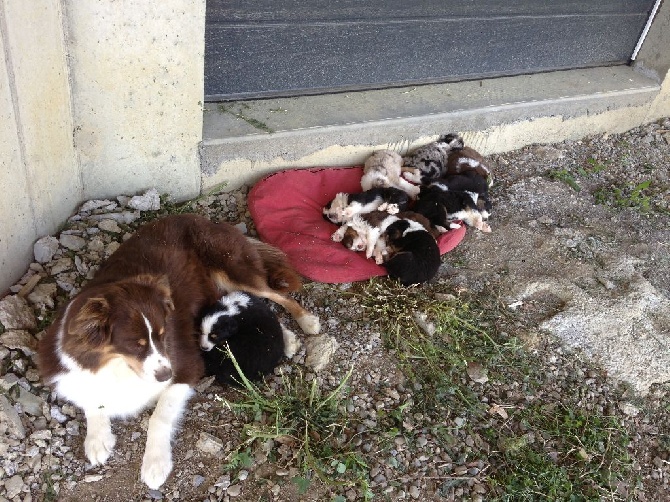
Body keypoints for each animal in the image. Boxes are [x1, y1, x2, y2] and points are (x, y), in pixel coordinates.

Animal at [38, 215, 322, 490]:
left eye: (163, 334)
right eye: (136, 344)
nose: (166, 375)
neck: (117, 367)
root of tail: (202, 218)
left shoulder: (187, 366)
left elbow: (159, 416)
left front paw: (155, 465)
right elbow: (91, 399)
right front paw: (97, 439)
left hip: (234, 268)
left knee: (274, 296)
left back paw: (305, 323)